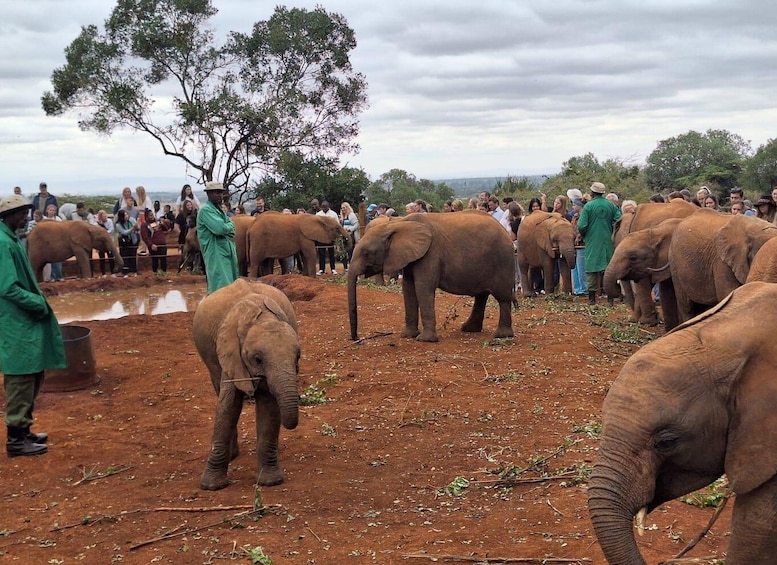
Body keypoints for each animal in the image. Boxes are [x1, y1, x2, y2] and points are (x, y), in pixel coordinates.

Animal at [193, 278, 300, 490]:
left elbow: (269, 407)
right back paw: (233, 455)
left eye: (298, 357)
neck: (261, 317)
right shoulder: (230, 351)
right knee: (218, 387)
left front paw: (270, 482)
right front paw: (211, 487)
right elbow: (228, 406)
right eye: (257, 359)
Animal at [346, 212, 516, 342]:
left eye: (366, 253)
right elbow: (408, 289)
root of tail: (506, 233)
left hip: (502, 260)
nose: (357, 338)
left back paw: (502, 336)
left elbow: (422, 288)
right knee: (482, 296)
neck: (398, 224)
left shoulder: (430, 254)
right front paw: (408, 336)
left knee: (502, 298)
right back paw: (469, 329)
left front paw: (425, 340)